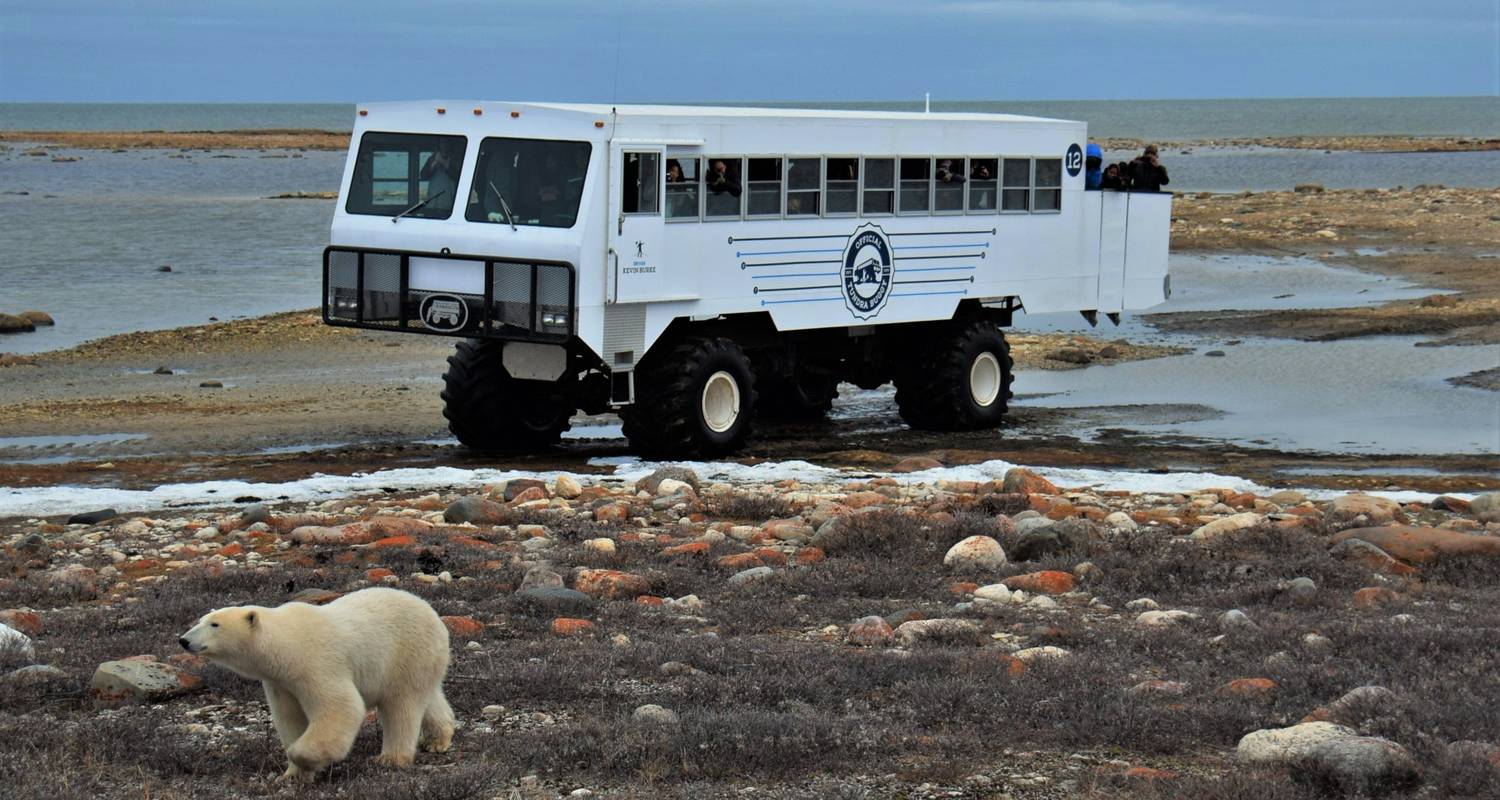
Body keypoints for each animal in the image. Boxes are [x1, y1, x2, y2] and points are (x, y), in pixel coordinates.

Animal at [180, 585, 456, 780]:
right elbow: (290, 719)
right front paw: (293, 775)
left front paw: (303, 758)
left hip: (405, 654)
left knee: (401, 707)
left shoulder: (315, 664)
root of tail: (434, 616)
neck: (286, 643)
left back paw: (391, 758)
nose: (183, 640)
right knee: (428, 697)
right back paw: (437, 740)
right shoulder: (280, 682)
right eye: (201, 620)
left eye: (214, 624)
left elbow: (341, 706)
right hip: (422, 663)